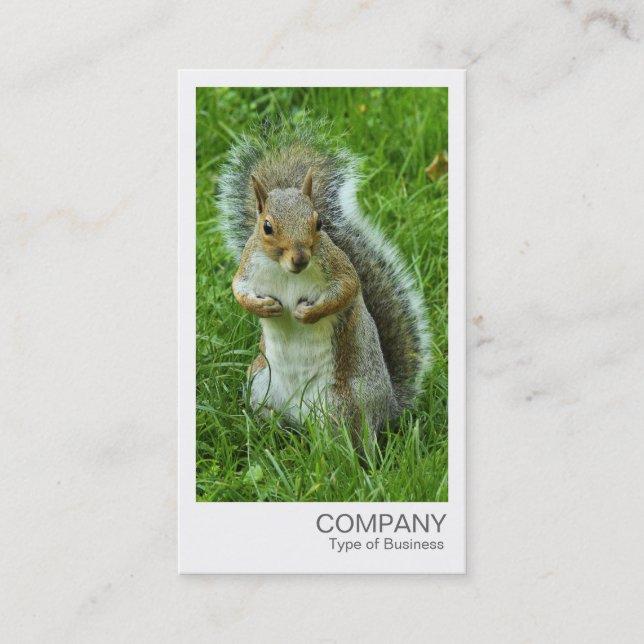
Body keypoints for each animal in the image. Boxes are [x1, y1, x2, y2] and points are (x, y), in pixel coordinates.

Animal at [217, 122, 430, 440]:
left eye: (318, 223)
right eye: (267, 227)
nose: (300, 258)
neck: (286, 272)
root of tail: (387, 408)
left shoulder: (339, 268)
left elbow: (347, 289)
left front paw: (308, 313)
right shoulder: (248, 267)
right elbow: (238, 290)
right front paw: (264, 307)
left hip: (342, 403)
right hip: (259, 382)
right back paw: (267, 430)